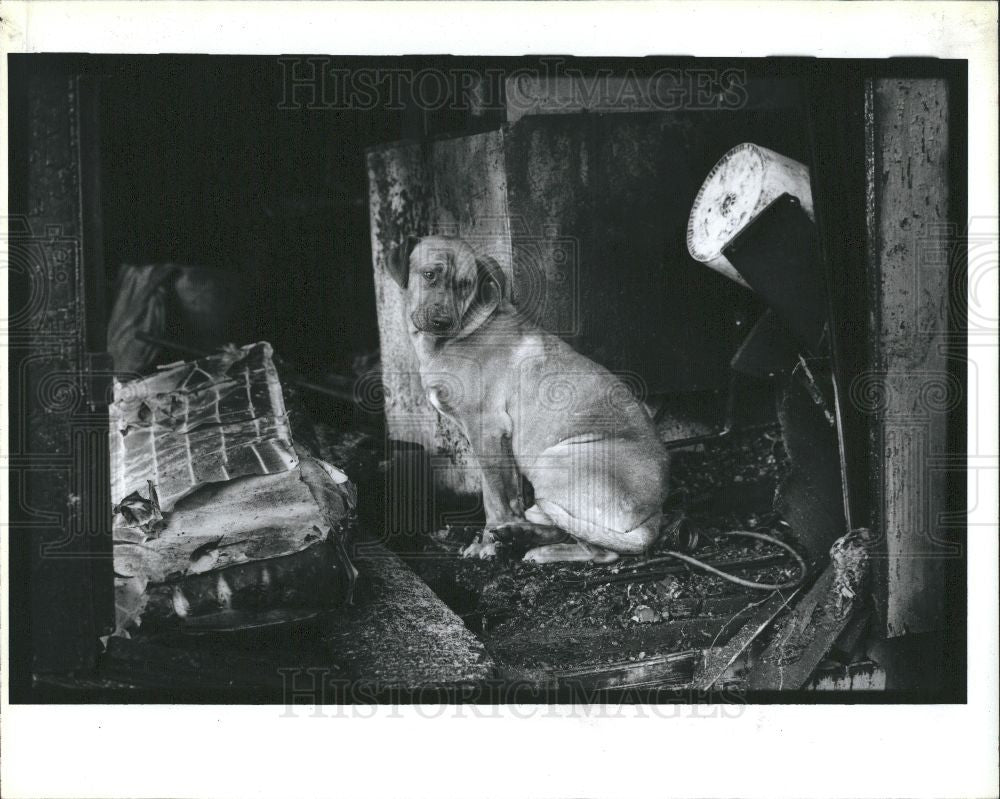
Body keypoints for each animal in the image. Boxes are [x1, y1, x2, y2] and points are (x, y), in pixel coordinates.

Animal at [386, 234, 668, 564]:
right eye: (429, 275)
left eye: (465, 284)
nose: (442, 321)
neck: (462, 332)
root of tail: (654, 519)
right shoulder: (489, 440)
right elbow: (500, 496)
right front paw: (495, 537)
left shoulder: (487, 430)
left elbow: (495, 500)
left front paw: (486, 545)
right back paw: (519, 535)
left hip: (553, 461)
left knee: (601, 551)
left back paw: (538, 548)